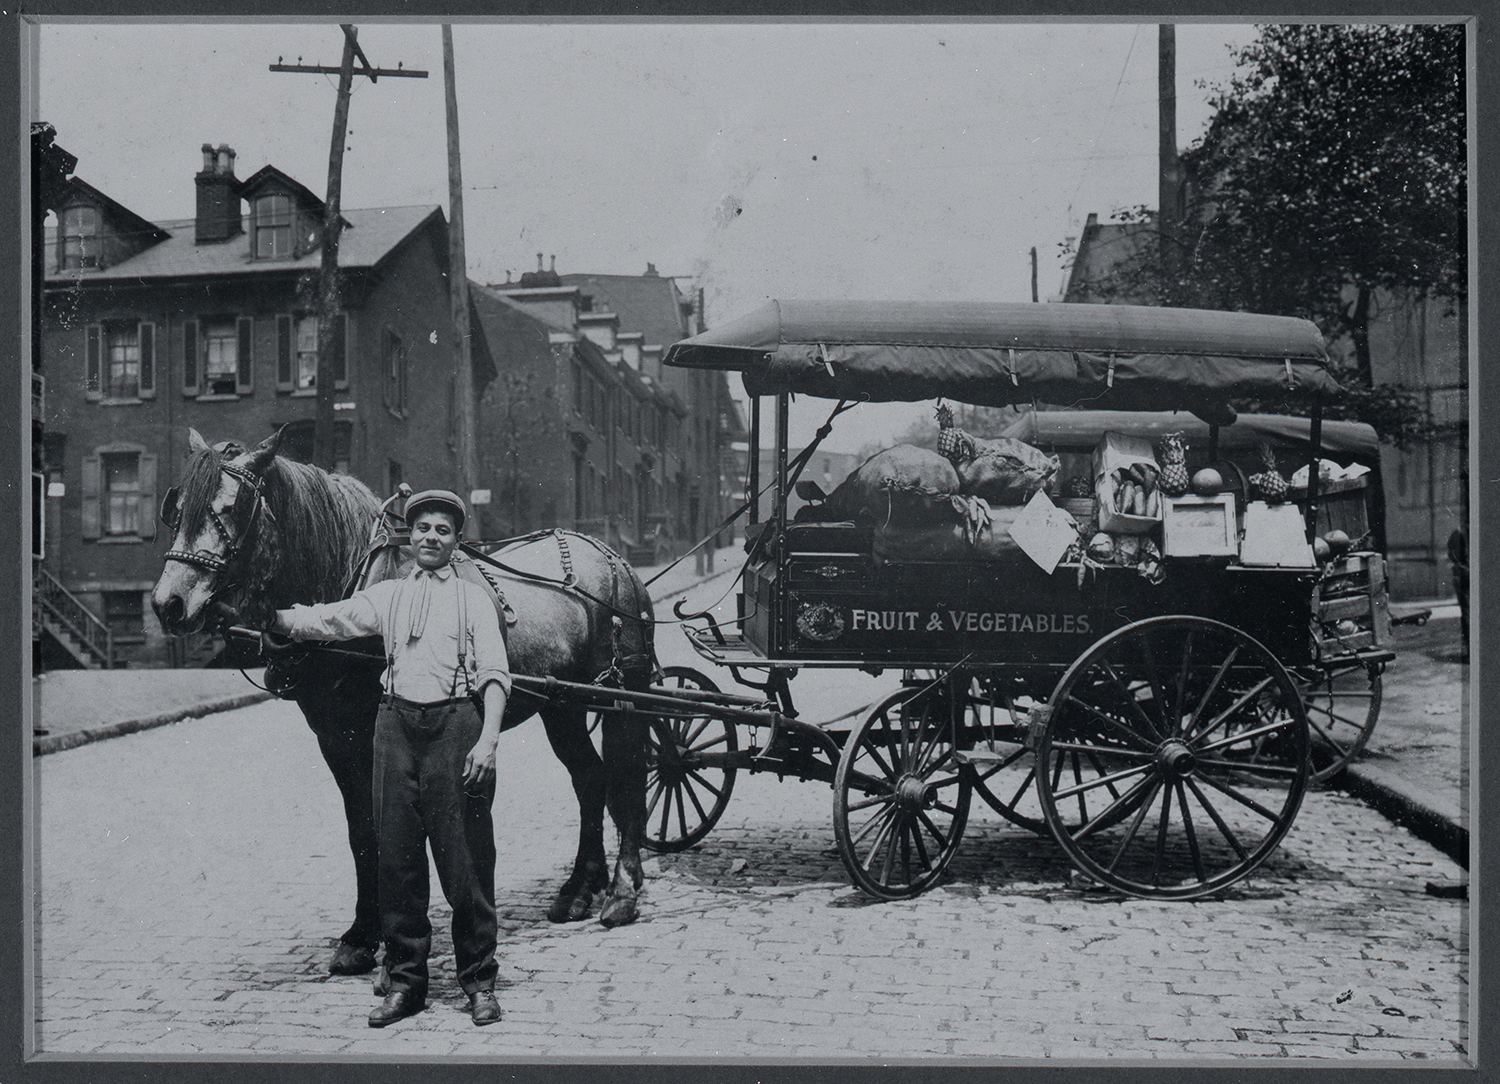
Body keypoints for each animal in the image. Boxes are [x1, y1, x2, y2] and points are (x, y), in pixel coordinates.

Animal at [150, 428, 657, 977]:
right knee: (590, 778)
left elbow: (387, 826)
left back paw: (621, 893)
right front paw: (359, 936)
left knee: (627, 779)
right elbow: (360, 831)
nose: (168, 604)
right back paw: (580, 888)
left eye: (230, 508)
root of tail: (615, 561)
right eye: (176, 509)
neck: (350, 584)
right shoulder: (335, 738)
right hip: (561, 706)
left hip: (623, 696)